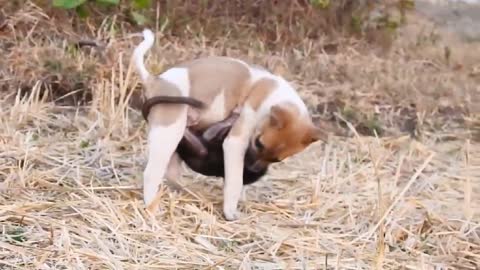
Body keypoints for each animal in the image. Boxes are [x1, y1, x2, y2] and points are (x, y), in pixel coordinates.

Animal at [133, 28, 324, 220]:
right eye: (258, 143)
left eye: (276, 160)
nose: (252, 168)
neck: (273, 98)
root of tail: (153, 80)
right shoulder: (235, 143)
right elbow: (235, 181)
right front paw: (230, 211)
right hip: (169, 132)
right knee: (151, 174)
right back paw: (152, 207)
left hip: (174, 139)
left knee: (171, 174)